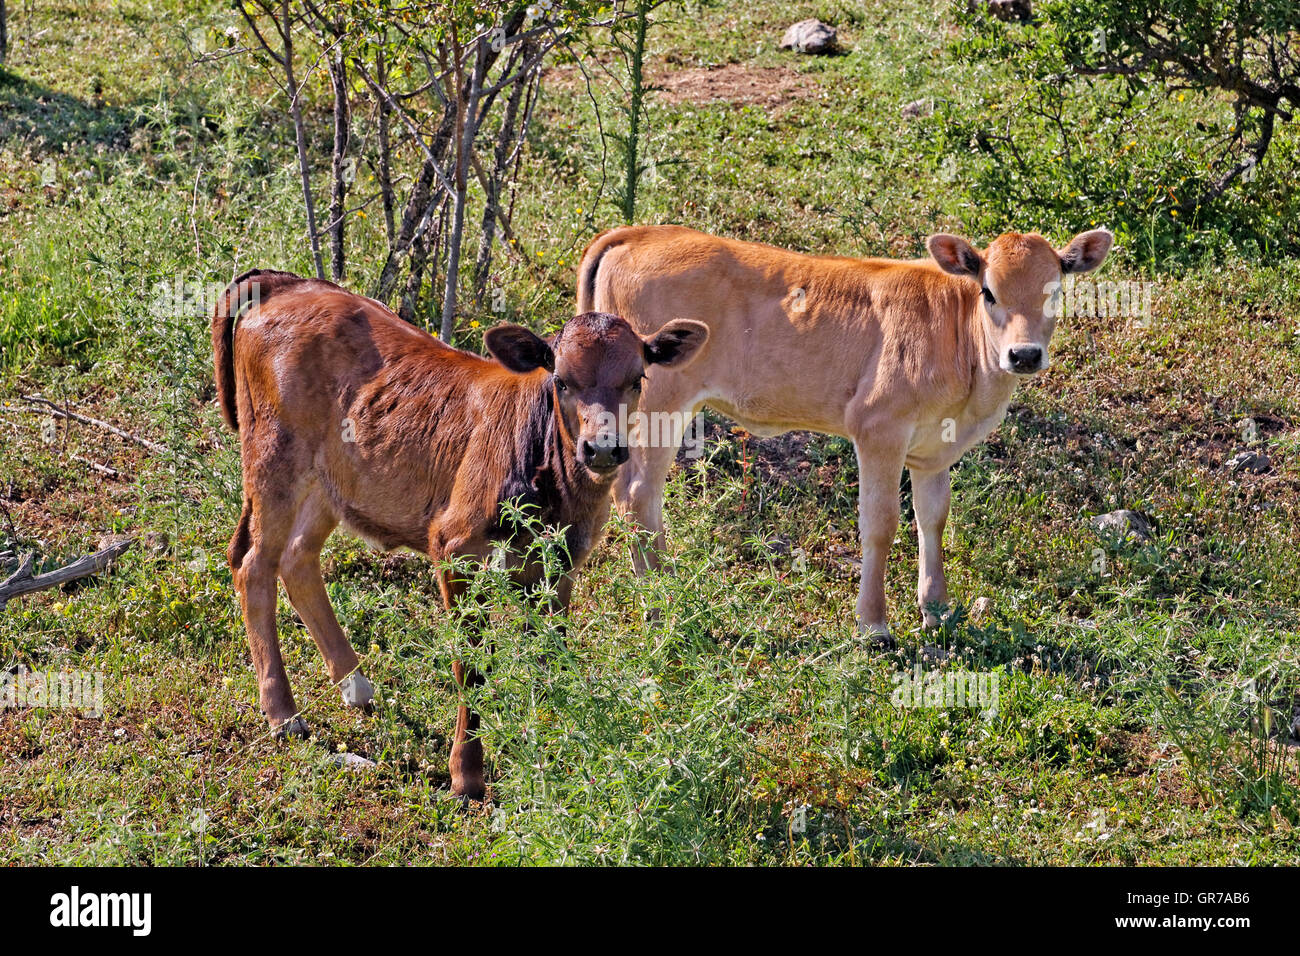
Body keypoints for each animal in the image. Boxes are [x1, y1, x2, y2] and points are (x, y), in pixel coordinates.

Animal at [213, 270, 707, 801]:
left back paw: (355, 685)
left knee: (298, 558)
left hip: (330, 483)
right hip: (273, 457)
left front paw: (548, 747)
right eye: (561, 380)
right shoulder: (454, 547)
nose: (602, 448)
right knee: (254, 564)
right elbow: (470, 667)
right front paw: (467, 776)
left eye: (637, 379)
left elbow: (549, 655)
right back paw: (283, 714)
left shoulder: (561, 564)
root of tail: (286, 283)